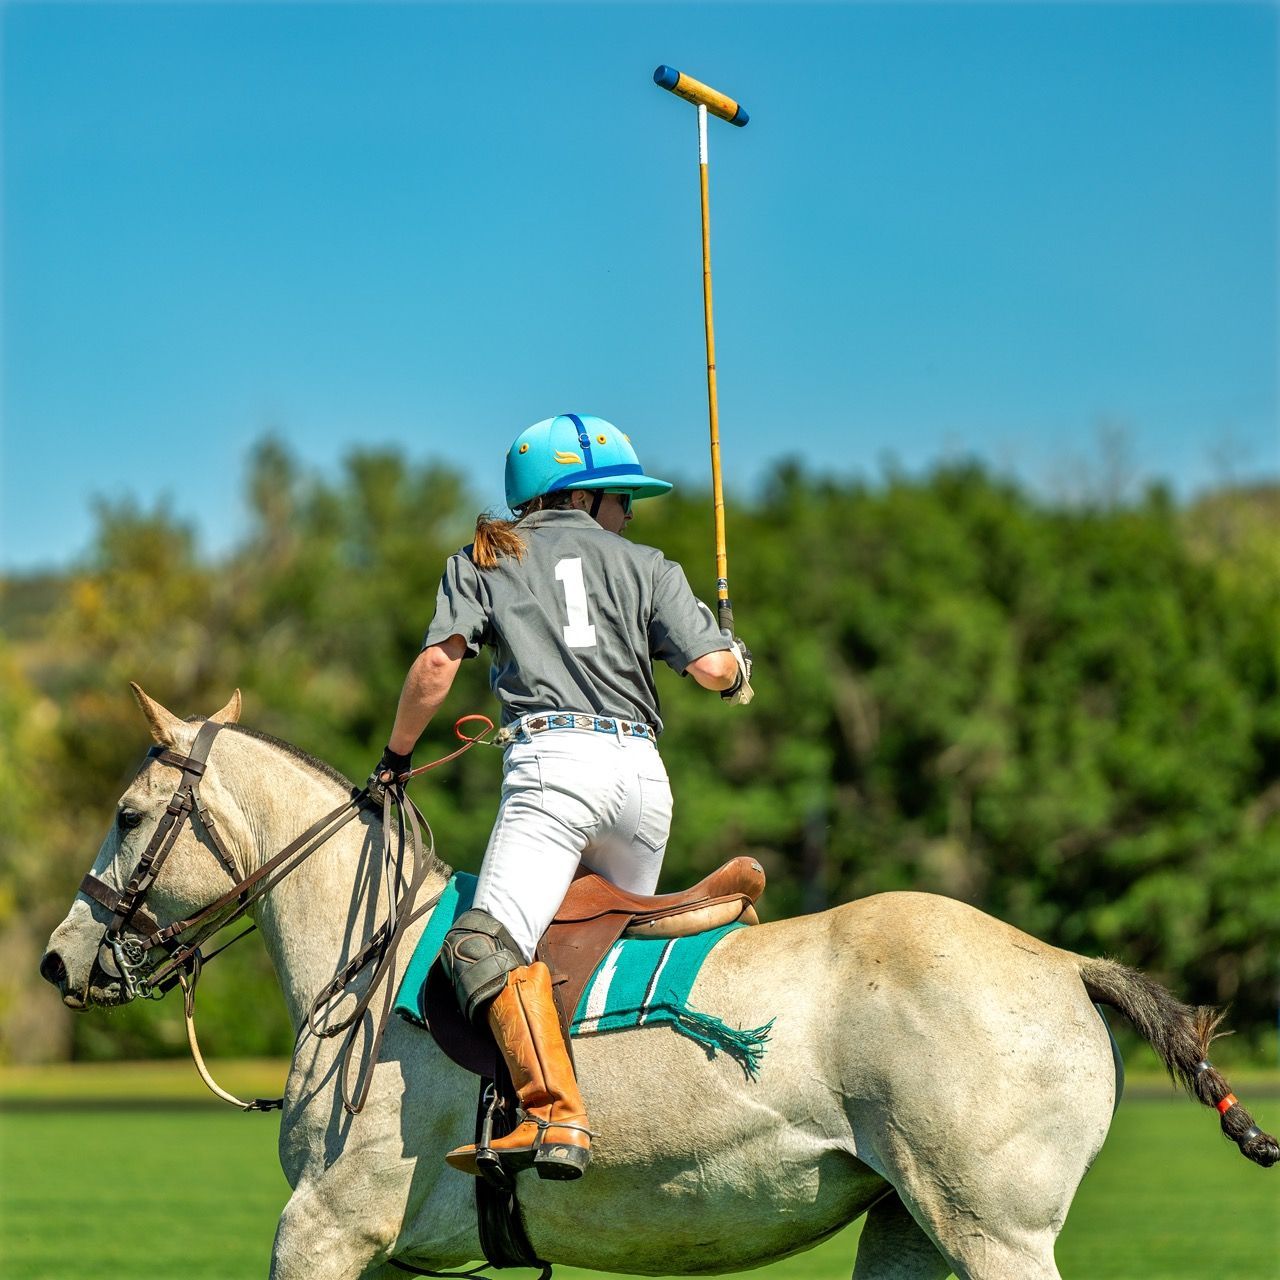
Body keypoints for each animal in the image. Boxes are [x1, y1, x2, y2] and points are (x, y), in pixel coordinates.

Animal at [40, 686, 1277, 1280]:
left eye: (130, 815)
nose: (60, 958)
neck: (371, 961)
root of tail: (1066, 963)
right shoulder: (391, 1256)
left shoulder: (327, 1228)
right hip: (911, 1229)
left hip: (997, 1233)